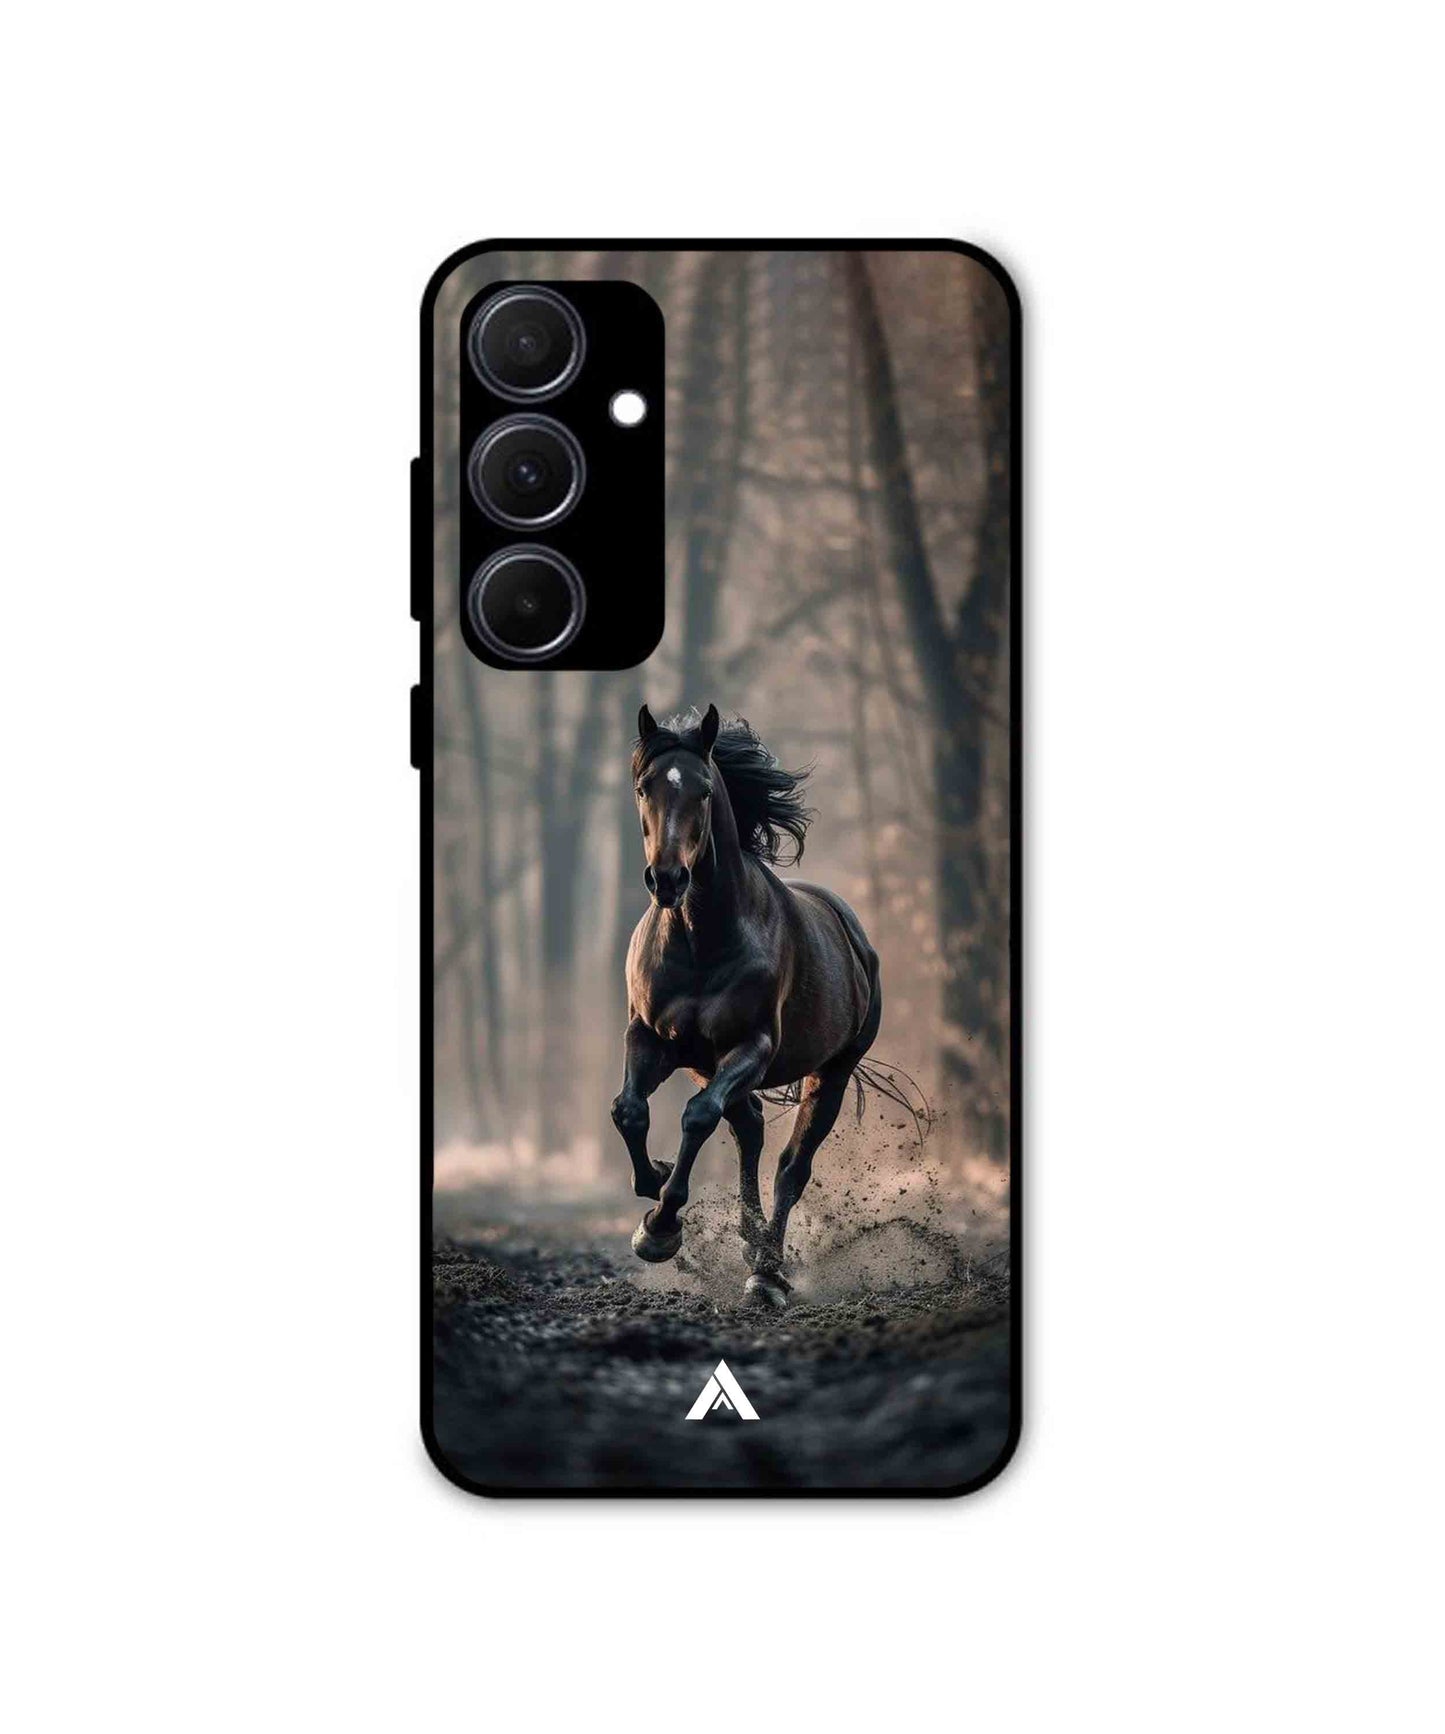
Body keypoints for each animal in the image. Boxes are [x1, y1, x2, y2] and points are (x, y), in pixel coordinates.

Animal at [610, 703, 883, 1309]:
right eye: (643, 787)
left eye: (706, 791)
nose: (668, 879)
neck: (701, 939)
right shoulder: (649, 1037)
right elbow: (629, 1110)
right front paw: (653, 1187)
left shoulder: (751, 1046)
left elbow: (696, 1118)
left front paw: (662, 1228)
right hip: (704, 1064)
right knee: (750, 1129)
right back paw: (751, 1244)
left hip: (830, 1071)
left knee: (789, 1167)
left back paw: (767, 1273)